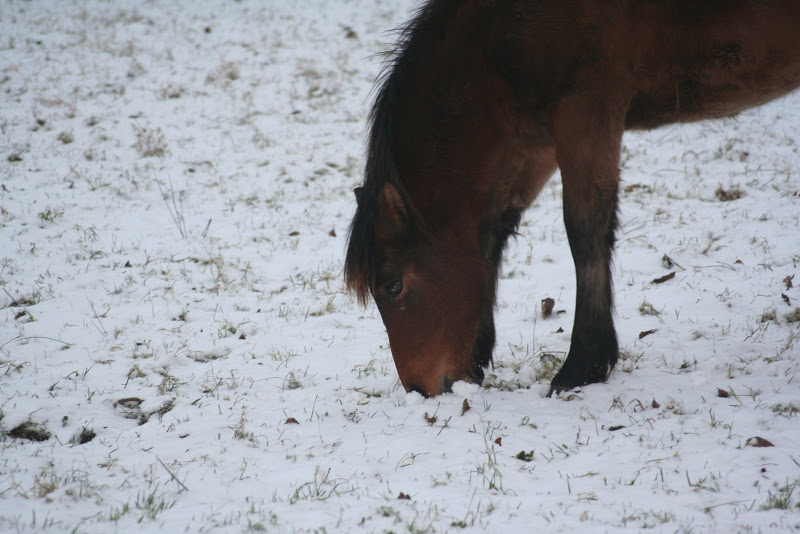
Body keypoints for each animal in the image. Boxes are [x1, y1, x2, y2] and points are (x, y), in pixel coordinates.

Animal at [344, 1, 800, 398]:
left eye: (394, 286)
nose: (418, 389)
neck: (500, 26)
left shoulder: (586, 113)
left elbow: (585, 232)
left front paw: (583, 365)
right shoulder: (535, 139)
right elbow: (495, 233)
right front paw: (477, 356)